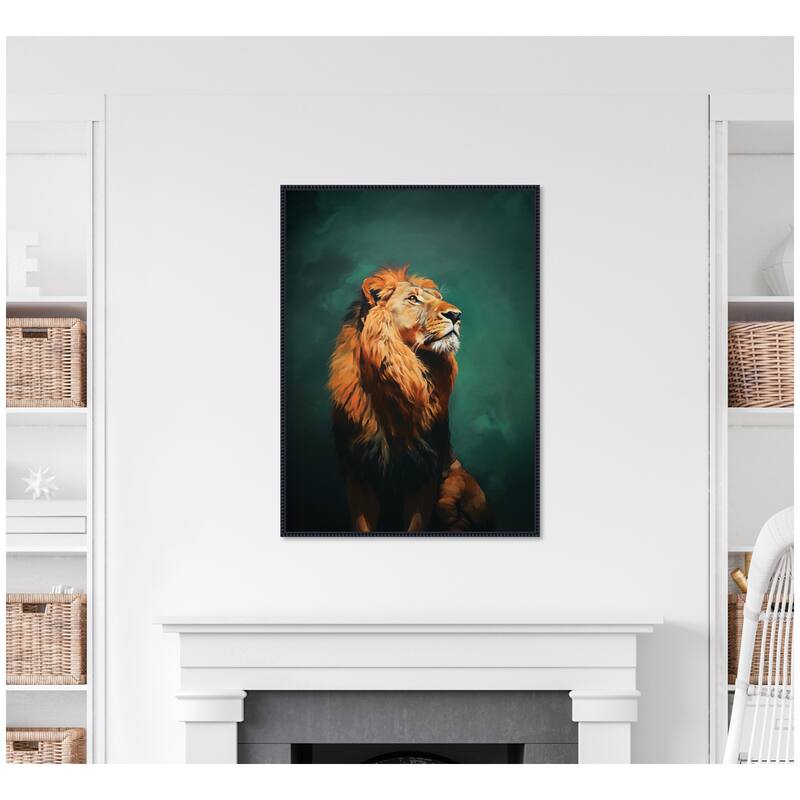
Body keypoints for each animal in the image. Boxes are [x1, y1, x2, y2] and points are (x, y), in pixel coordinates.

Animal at [328, 264, 493, 533]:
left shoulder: (425, 470)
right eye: (413, 299)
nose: (457, 315)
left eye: (436, 298)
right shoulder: (358, 472)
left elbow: (416, 525)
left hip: (454, 486)